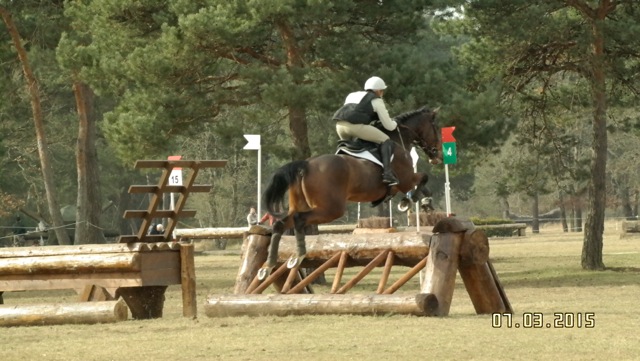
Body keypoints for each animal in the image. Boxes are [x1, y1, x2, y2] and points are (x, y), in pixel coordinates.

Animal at [258, 105, 442, 278]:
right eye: (435, 128)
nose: (438, 156)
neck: (398, 140)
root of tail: (306, 165)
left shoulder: (404, 182)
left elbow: (424, 185)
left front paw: (417, 201)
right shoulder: (406, 180)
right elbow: (423, 178)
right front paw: (414, 201)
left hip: (302, 205)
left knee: (280, 224)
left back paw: (268, 266)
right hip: (331, 209)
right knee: (299, 219)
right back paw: (299, 255)